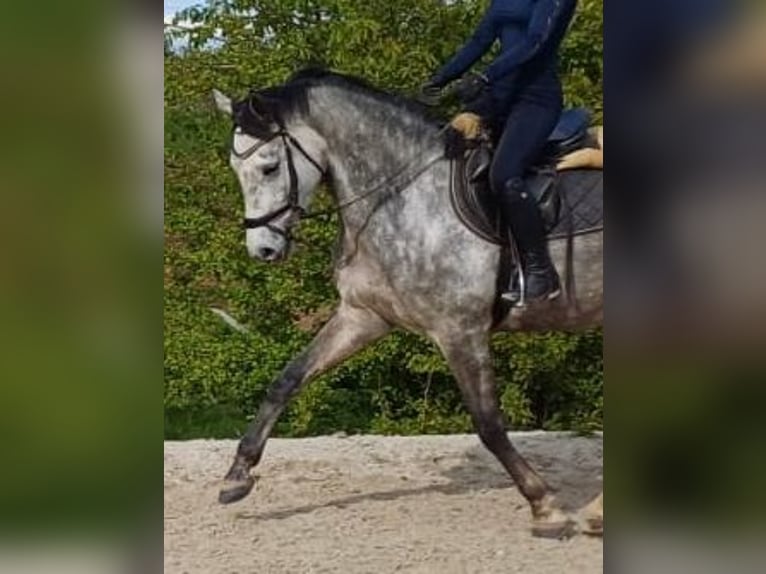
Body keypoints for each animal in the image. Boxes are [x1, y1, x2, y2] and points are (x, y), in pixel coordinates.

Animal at [213, 70, 604, 536]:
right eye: (235, 168)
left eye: (270, 166)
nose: (263, 250)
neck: (404, 194)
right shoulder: (363, 316)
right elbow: (287, 380)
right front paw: (237, 476)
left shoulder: (459, 331)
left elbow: (489, 424)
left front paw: (544, 505)